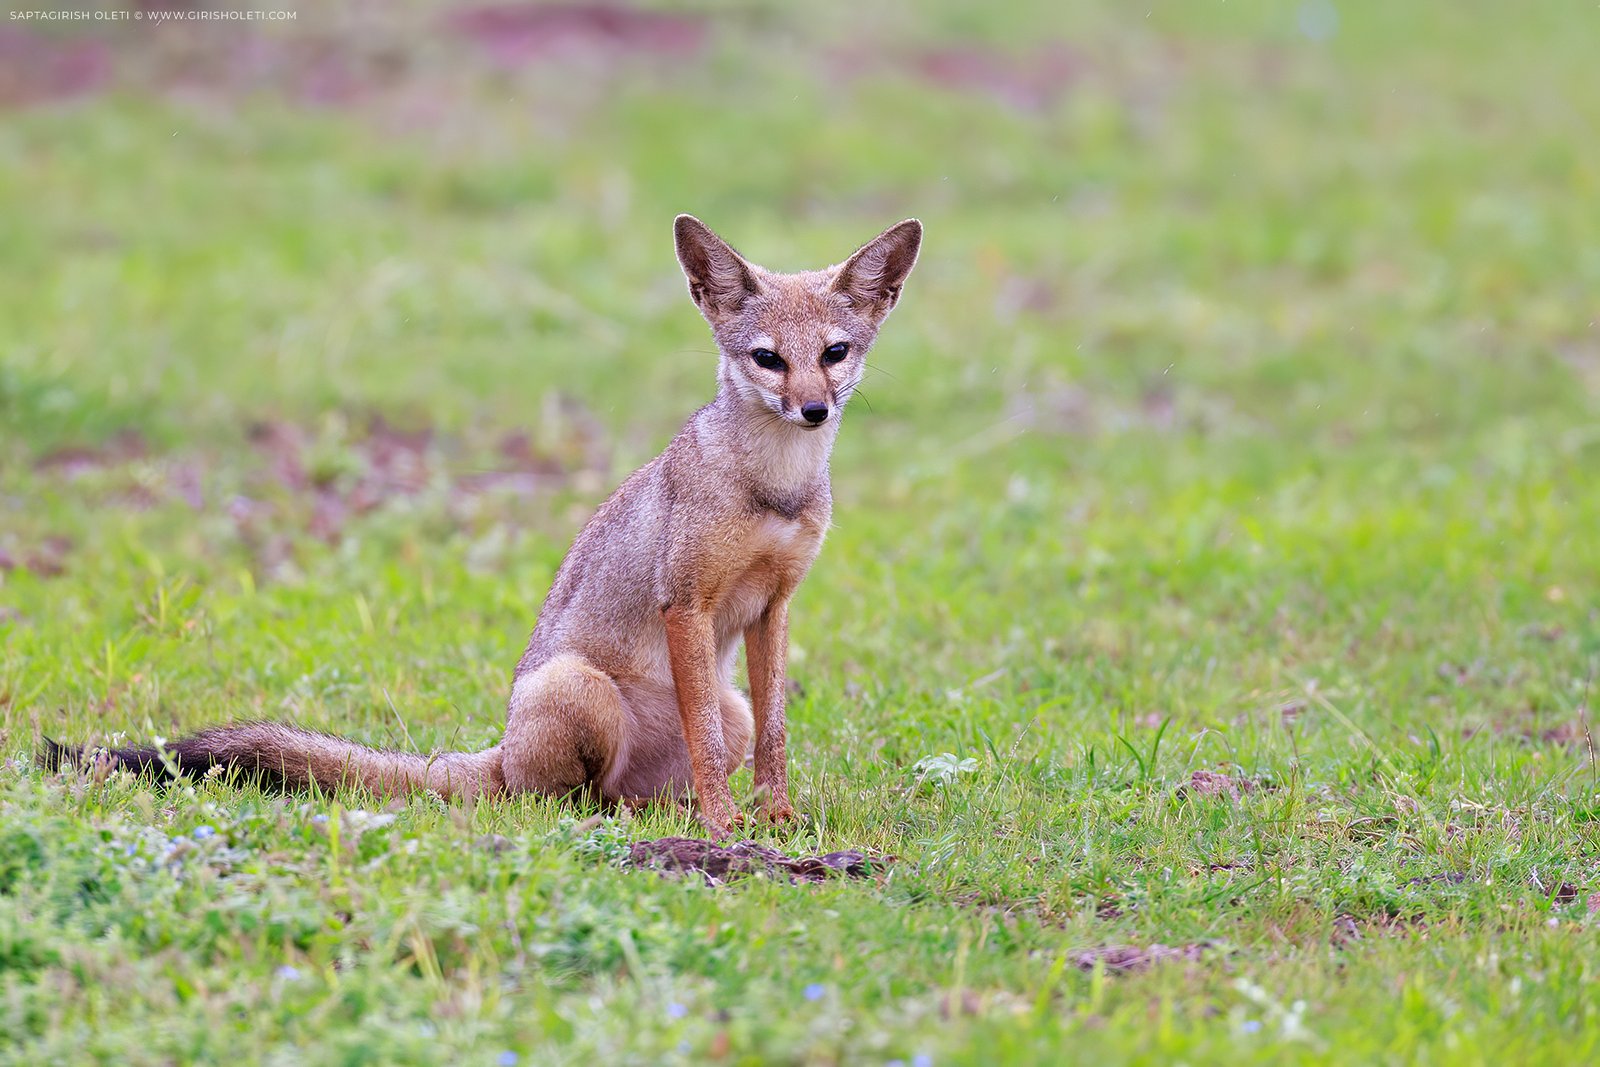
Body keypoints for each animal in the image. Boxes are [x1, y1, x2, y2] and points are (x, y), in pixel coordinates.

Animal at [41, 214, 922, 836]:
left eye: (835, 352)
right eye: (768, 358)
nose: (812, 409)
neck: (770, 486)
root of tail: (497, 748)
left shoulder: (773, 607)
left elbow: (777, 737)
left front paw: (775, 819)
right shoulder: (688, 604)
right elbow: (705, 743)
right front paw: (724, 825)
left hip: (714, 697)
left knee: (643, 782)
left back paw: (667, 813)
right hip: (578, 690)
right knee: (560, 799)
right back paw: (638, 815)